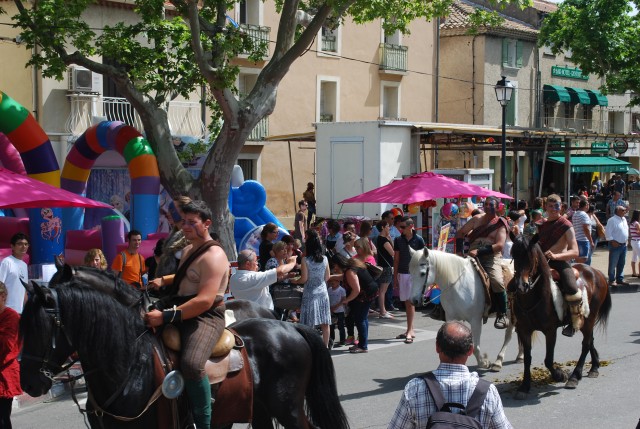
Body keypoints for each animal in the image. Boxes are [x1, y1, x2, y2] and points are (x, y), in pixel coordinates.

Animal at [21, 280, 350, 426]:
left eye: (41, 327)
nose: (29, 384)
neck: (128, 367)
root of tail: (290, 327)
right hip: (261, 408)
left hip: (288, 409)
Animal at [510, 232, 608, 400]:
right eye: (514, 255)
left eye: (532, 258)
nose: (521, 286)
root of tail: (596, 272)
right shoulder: (524, 330)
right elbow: (527, 358)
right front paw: (524, 386)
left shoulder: (550, 330)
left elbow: (548, 359)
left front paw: (559, 375)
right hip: (586, 320)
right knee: (590, 340)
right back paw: (594, 367)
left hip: (590, 318)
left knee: (586, 344)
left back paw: (574, 376)